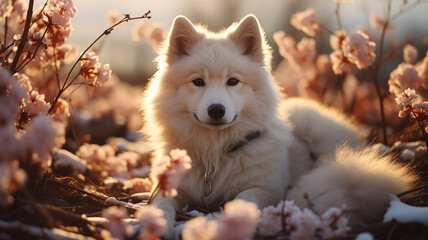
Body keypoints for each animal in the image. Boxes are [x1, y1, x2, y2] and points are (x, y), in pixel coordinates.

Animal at [142, 14, 416, 237]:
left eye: (233, 81)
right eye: (198, 82)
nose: (216, 110)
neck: (215, 153)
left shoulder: (266, 189)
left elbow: (241, 200)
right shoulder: (171, 186)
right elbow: (160, 204)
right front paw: (159, 226)